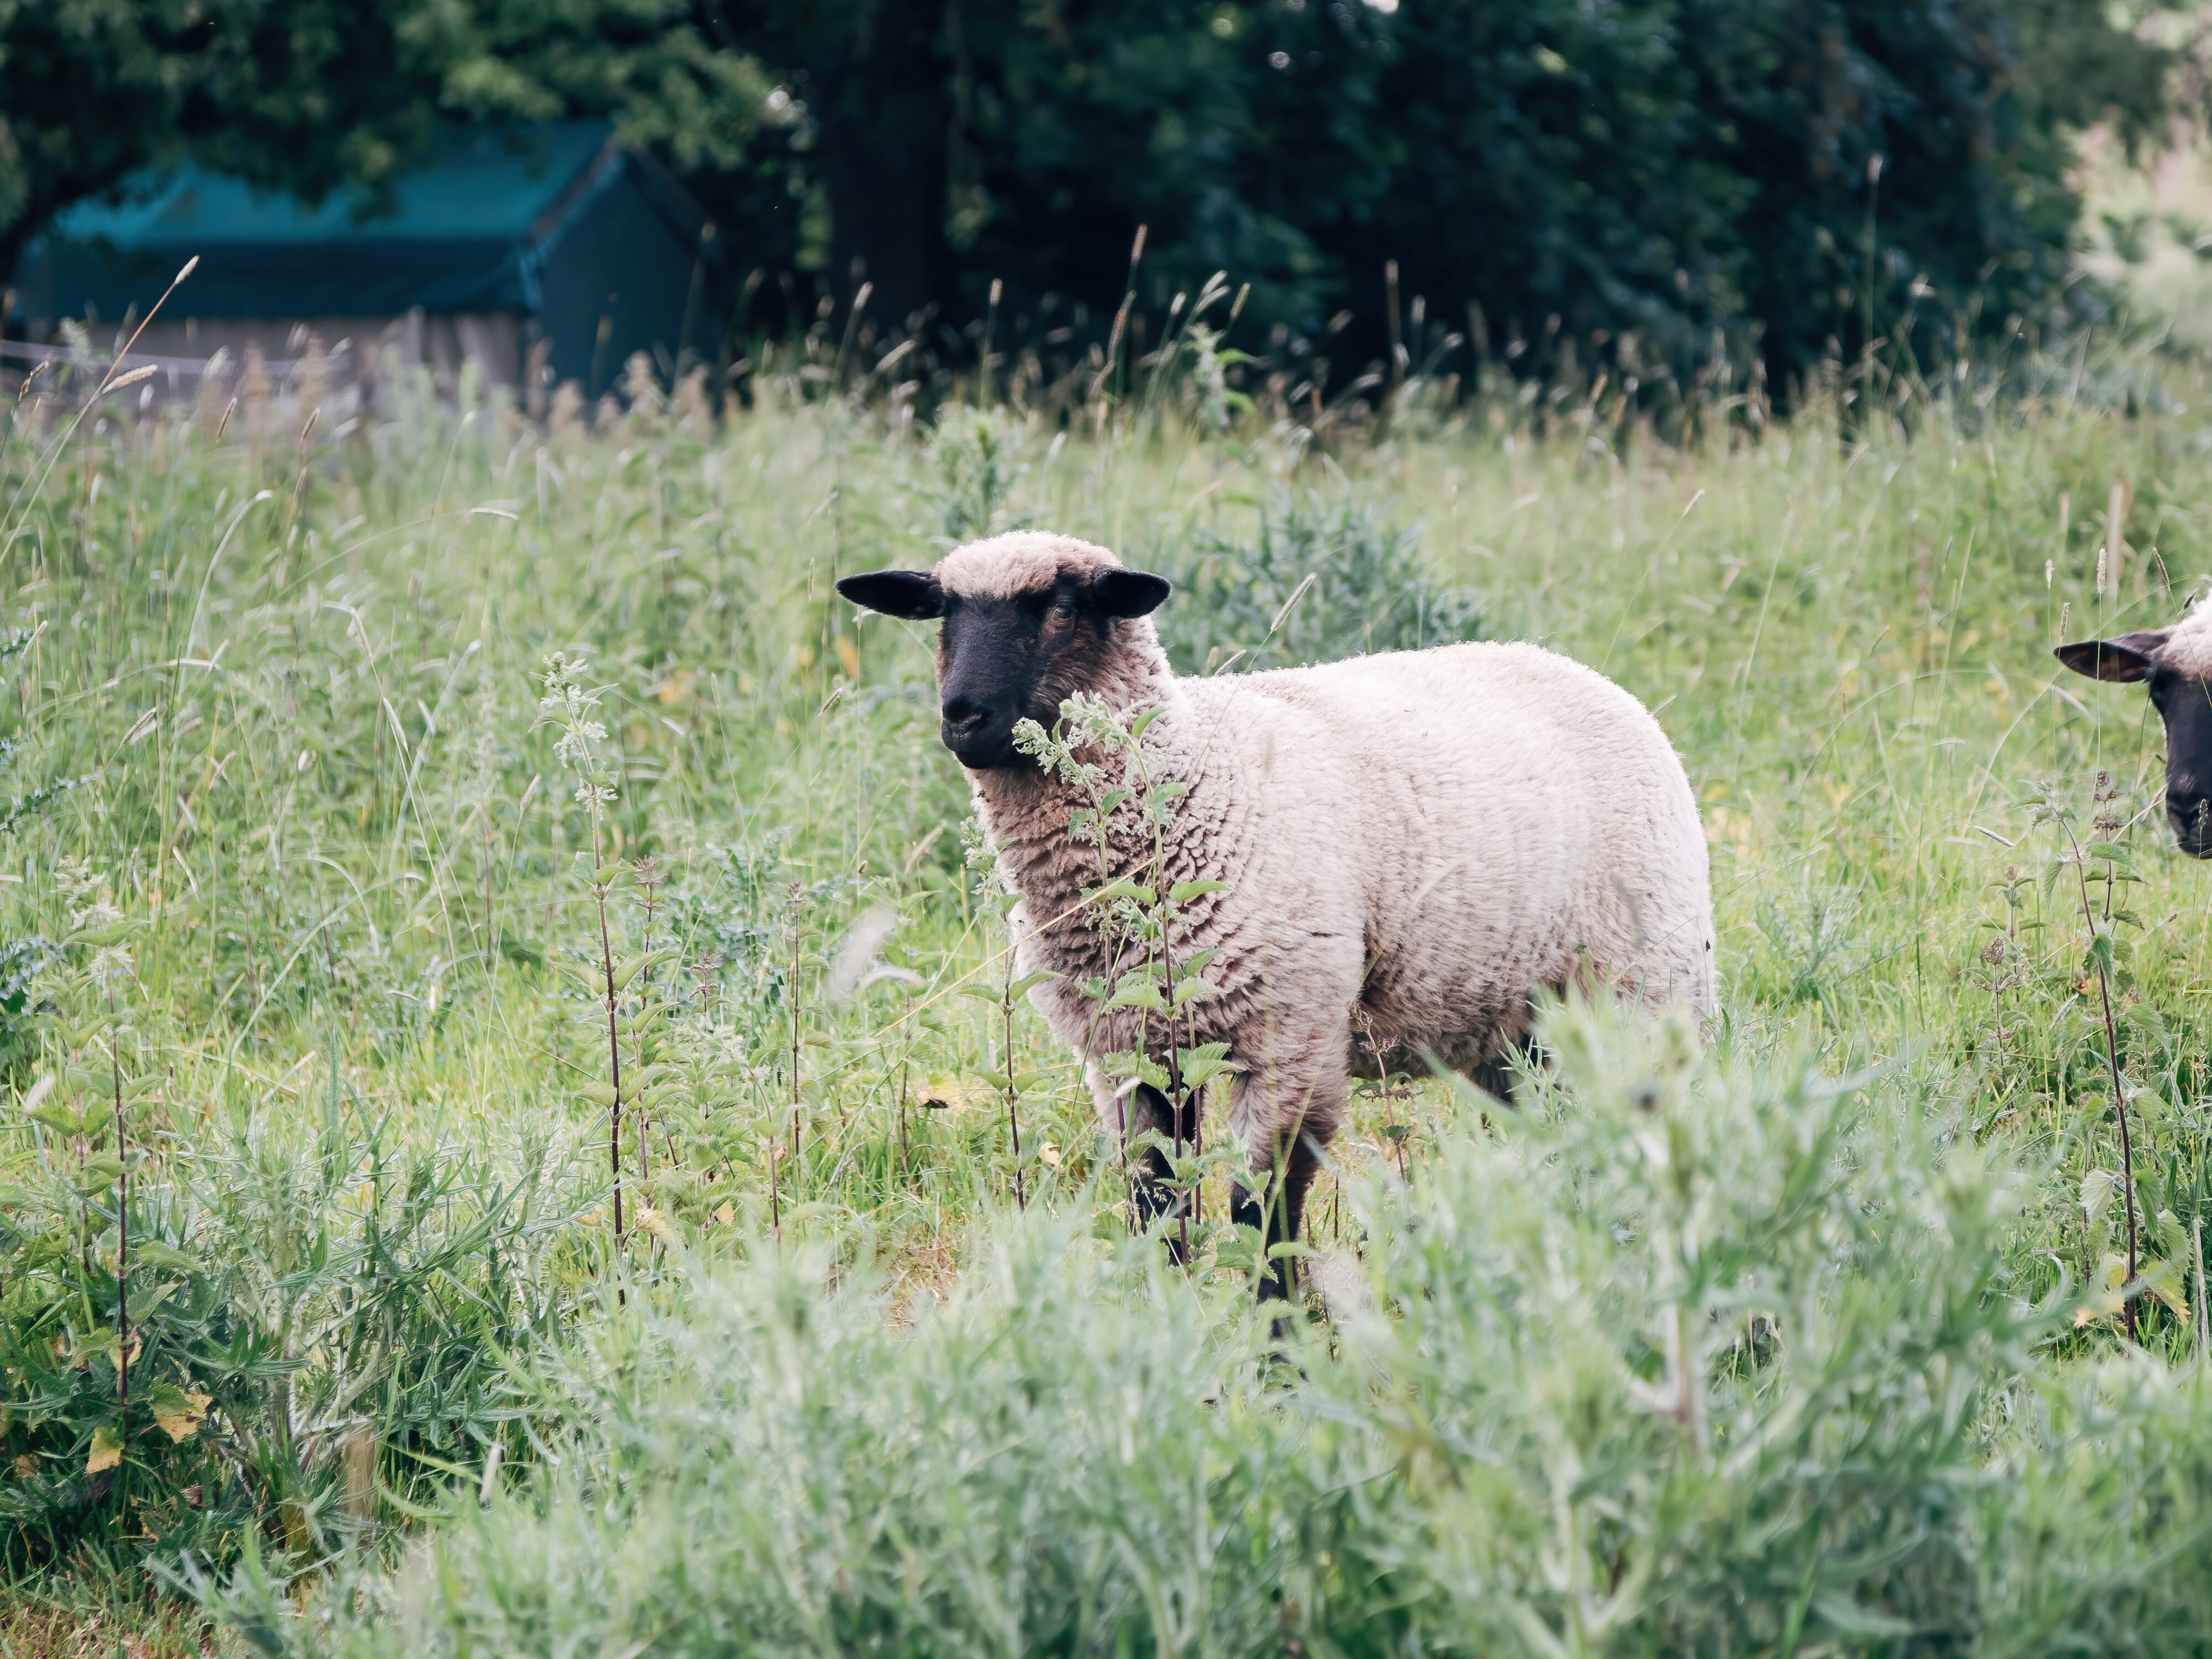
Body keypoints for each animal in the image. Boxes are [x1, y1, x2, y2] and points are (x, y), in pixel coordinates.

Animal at [840, 530, 1716, 1300]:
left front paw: (1277, 1353)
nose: (963, 717)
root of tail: (1577, 669)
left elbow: (1263, 1215)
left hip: (1646, 986)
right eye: (944, 613)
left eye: (1059, 608)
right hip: (1513, 1026)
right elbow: (1157, 1207)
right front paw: (1169, 1325)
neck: (1193, 784)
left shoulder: (1291, 1041)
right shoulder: (1130, 1055)